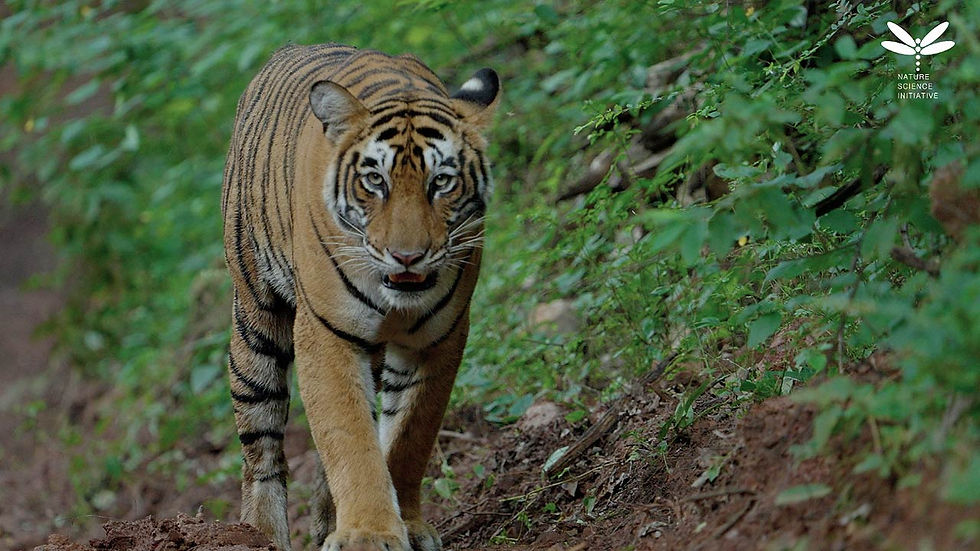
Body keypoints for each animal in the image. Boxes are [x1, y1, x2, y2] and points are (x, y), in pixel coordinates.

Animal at [220, 43, 499, 551]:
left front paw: (406, 526)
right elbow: (349, 438)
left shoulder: (440, 339)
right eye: (375, 181)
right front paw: (368, 534)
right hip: (256, 324)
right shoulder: (327, 336)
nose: (407, 256)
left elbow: (409, 436)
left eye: (441, 182)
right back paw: (263, 534)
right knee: (262, 450)